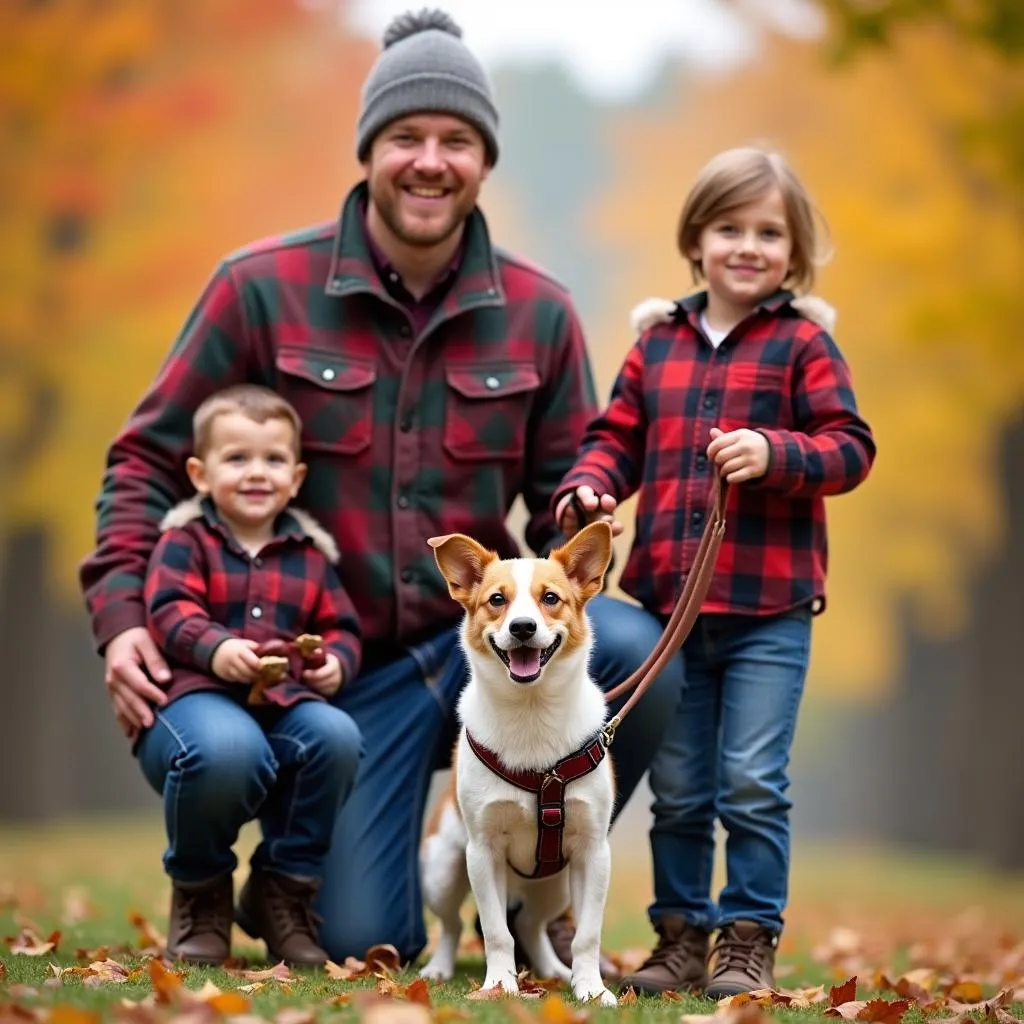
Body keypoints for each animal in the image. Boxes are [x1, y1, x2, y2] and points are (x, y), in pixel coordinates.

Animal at [415, 524, 614, 1003]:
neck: (531, 711)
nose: (523, 627)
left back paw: (554, 970)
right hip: (442, 870)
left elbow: (587, 936)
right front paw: (499, 985)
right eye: (497, 600)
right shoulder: (483, 852)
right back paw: (439, 968)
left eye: (551, 598)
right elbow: (494, 931)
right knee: (453, 925)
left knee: (530, 922)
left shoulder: (594, 852)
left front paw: (591, 988)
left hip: (554, 886)